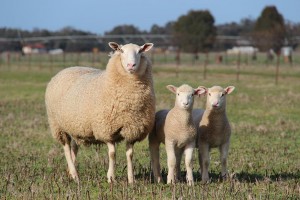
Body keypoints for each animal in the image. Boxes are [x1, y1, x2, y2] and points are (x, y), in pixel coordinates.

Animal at [46, 41, 157, 184]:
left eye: (140, 51)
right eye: (121, 51)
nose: (131, 65)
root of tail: (66, 69)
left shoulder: (132, 130)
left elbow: (130, 154)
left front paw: (131, 179)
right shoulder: (106, 129)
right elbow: (112, 154)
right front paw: (111, 177)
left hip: (76, 125)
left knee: (74, 148)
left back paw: (70, 173)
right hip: (57, 125)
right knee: (66, 148)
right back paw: (75, 175)